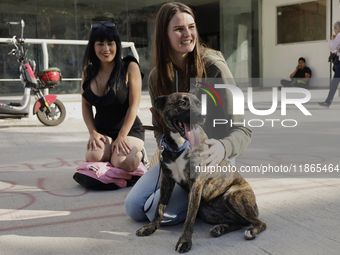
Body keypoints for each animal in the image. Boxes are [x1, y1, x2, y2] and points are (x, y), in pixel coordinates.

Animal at [135, 92, 266, 253]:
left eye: (199, 104)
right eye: (182, 103)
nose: (202, 116)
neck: (178, 147)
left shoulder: (196, 183)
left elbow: (189, 217)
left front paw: (185, 241)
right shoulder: (166, 180)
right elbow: (159, 209)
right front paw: (150, 228)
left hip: (232, 196)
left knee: (259, 223)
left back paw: (251, 231)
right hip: (206, 211)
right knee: (238, 223)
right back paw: (220, 229)